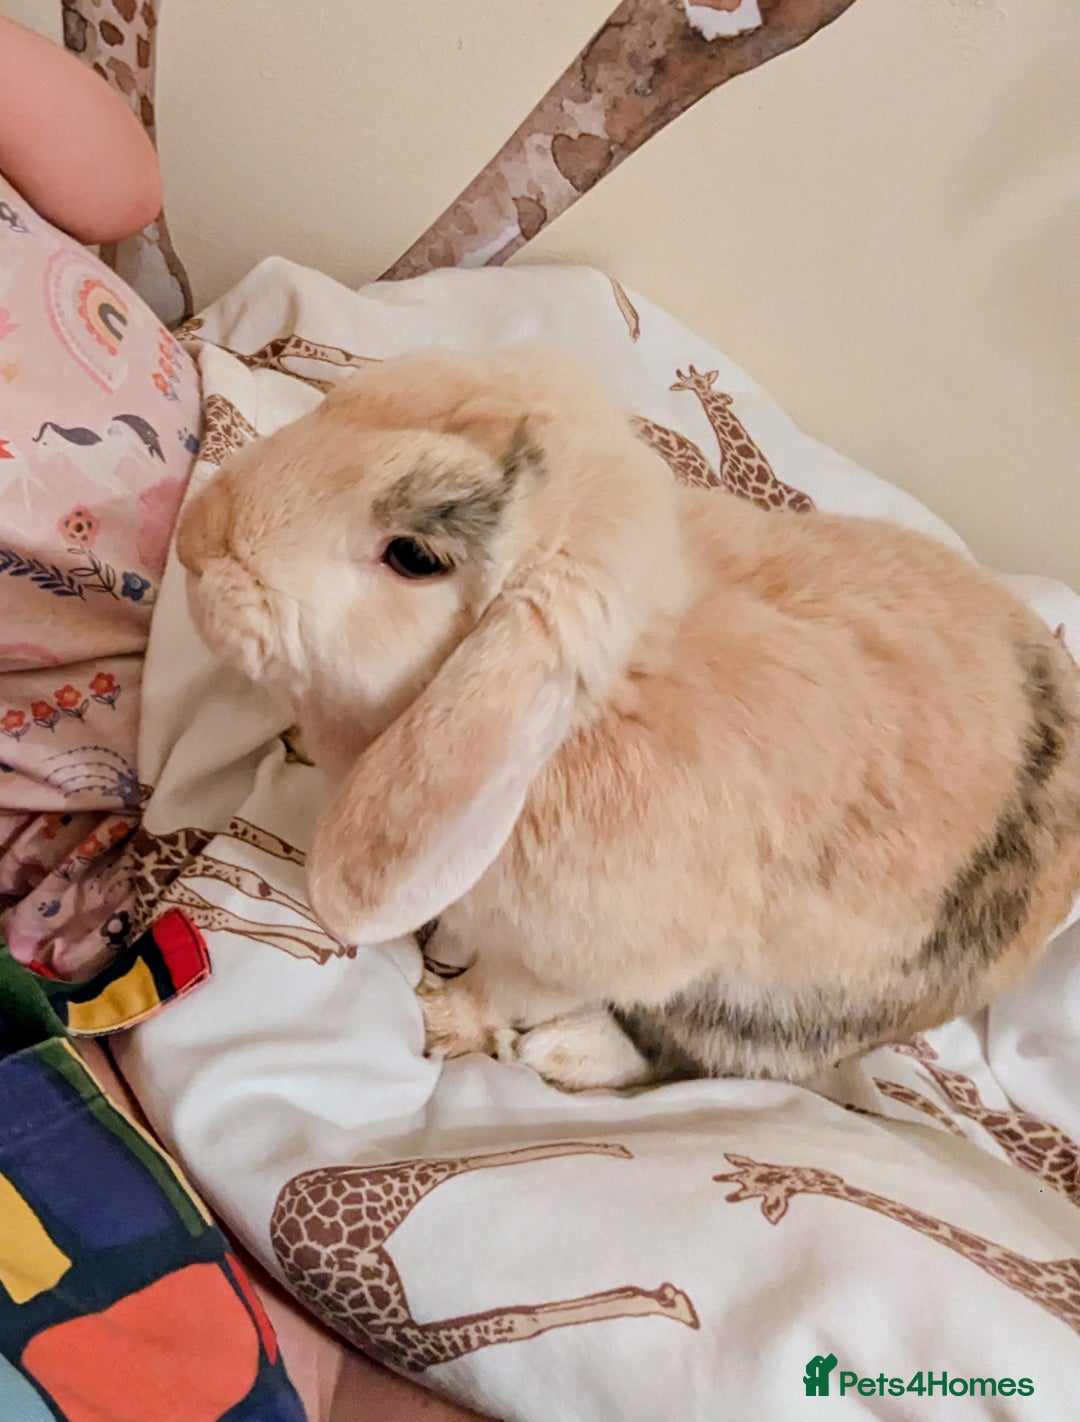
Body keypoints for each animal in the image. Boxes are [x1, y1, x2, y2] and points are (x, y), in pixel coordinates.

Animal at [176, 346, 1080, 1092]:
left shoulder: (588, 956)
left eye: (414, 557)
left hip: (772, 1015)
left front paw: (442, 1019)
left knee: (686, 1057)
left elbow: (508, 988)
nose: (195, 544)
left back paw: (564, 1053)